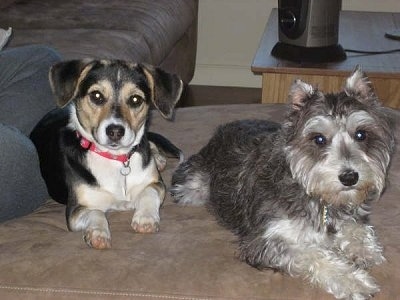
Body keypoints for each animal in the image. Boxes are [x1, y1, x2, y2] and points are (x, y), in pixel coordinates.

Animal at [30, 59, 183, 250]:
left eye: (135, 99)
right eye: (96, 96)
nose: (115, 131)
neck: (116, 159)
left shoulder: (156, 184)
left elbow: (148, 193)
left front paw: (145, 218)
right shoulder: (76, 210)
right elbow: (96, 212)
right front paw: (98, 233)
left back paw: (159, 158)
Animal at [170, 66, 396, 300]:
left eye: (361, 134)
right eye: (319, 139)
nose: (350, 177)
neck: (313, 192)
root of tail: (219, 133)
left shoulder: (350, 213)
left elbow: (357, 228)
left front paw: (365, 250)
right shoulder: (265, 241)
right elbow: (313, 253)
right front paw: (353, 280)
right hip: (192, 186)